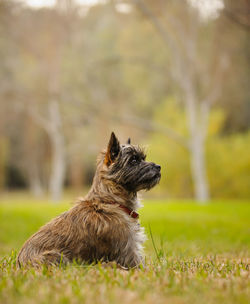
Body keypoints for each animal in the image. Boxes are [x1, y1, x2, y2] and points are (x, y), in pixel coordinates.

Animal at [16, 133, 161, 268]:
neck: (110, 201)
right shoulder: (128, 250)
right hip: (56, 256)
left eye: (143, 158)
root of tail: (19, 263)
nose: (158, 166)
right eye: (134, 160)